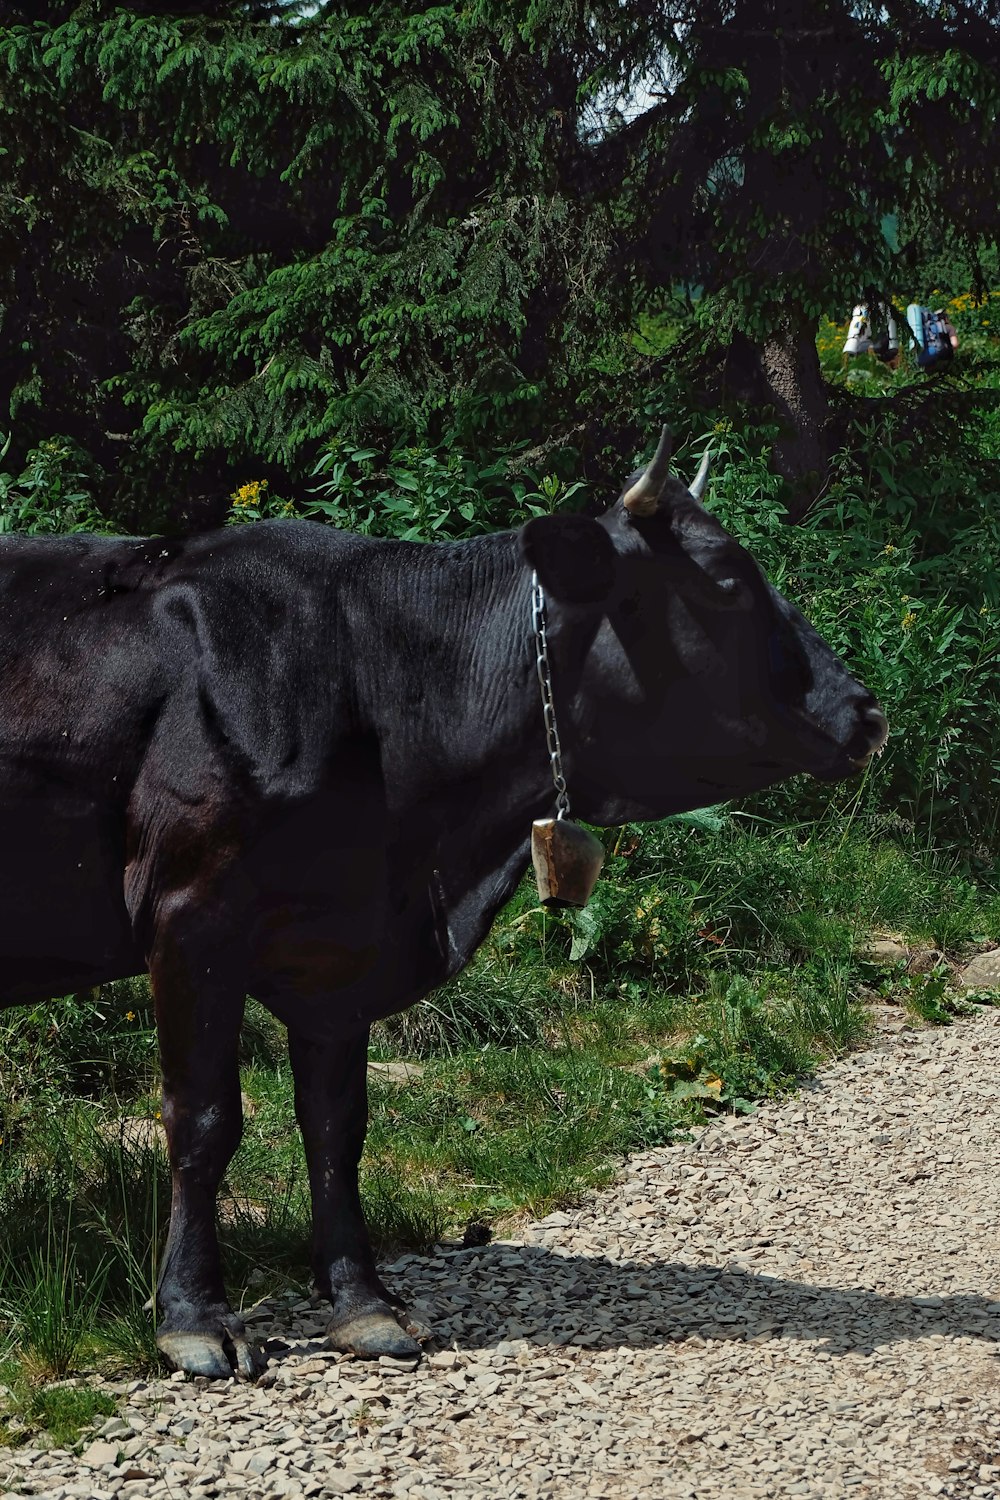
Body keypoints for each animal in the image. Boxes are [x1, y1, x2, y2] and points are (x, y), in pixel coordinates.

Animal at [3, 429, 887, 1374]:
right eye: (724, 580)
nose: (866, 712)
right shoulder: (188, 914)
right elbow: (204, 1121)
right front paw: (196, 1318)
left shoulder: (338, 944)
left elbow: (337, 1124)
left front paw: (363, 1305)